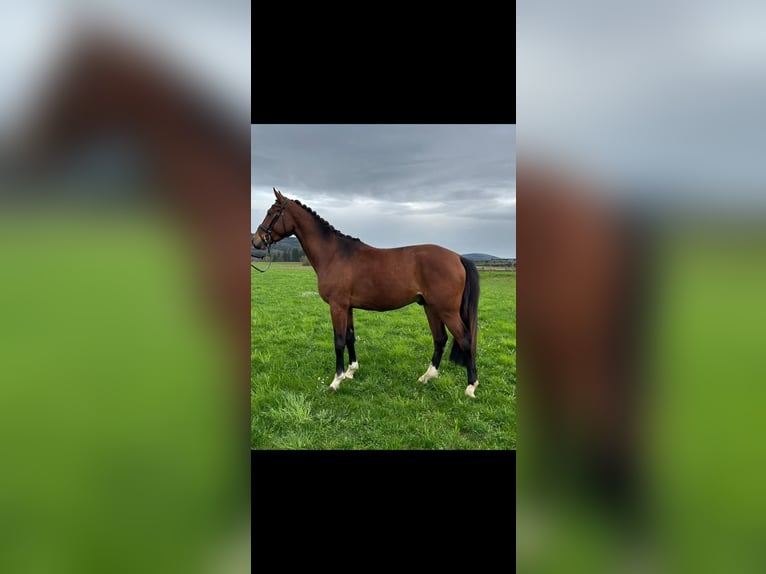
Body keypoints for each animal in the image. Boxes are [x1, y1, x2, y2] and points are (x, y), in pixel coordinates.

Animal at [252, 190, 484, 400]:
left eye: (271, 212)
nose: (256, 241)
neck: (334, 254)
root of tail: (458, 257)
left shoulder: (337, 306)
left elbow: (338, 341)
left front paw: (336, 381)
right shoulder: (347, 307)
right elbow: (350, 337)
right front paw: (350, 372)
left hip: (446, 310)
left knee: (465, 339)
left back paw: (471, 386)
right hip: (430, 307)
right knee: (440, 339)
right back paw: (427, 377)